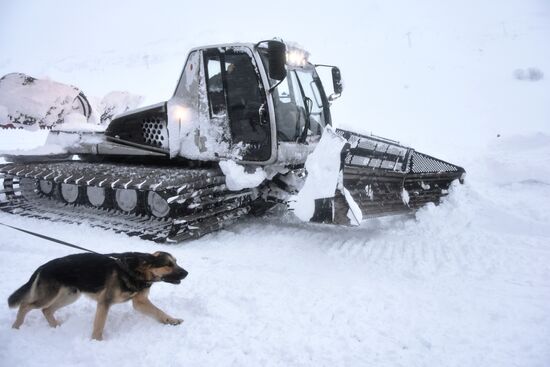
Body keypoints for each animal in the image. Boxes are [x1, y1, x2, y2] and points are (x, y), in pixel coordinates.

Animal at [6, 252, 189, 340]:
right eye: (168, 265)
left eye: (176, 262)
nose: (187, 273)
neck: (136, 271)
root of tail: (43, 266)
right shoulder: (104, 302)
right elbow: (99, 325)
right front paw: (97, 341)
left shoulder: (140, 302)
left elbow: (159, 312)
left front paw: (172, 321)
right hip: (49, 296)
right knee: (26, 305)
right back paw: (16, 327)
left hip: (70, 296)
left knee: (46, 310)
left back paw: (56, 326)